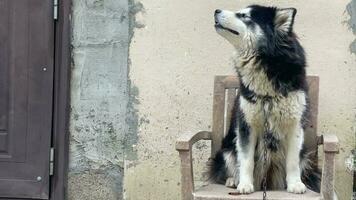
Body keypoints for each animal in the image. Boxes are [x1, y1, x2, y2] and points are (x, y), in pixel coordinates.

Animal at [210, 4, 322, 195]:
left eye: (244, 16)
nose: (216, 10)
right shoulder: (246, 125)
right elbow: (246, 160)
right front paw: (245, 184)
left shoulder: (295, 125)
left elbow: (292, 161)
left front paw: (295, 184)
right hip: (226, 149)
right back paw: (233, 180)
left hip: (304, 154)